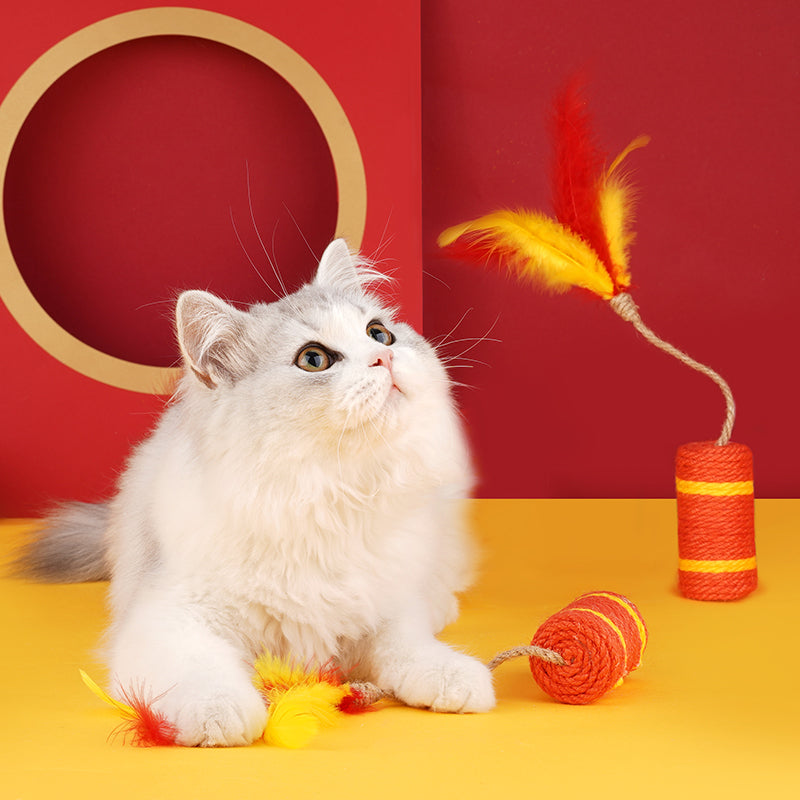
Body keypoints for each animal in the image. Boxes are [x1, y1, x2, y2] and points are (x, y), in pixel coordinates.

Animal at [17, 239, 495, 746]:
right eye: (314, 359)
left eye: (379, 334)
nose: (382, 358)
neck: (328, 492)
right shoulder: (168, 619)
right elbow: (202, 672)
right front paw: (219, 713)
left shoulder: (386, 609)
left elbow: (408, 647)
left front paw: (455, 676)